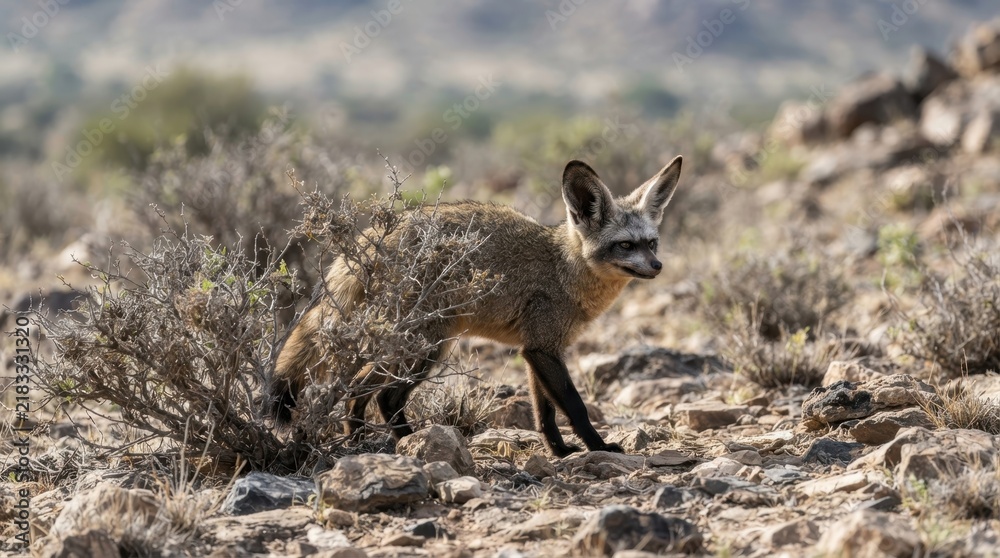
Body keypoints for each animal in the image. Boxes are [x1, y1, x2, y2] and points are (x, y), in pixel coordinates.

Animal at [269, 156, 684, 457]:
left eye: (652, 243)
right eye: (626, 245)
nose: (658, 267)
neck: (563, 268)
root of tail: (374, 237)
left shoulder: (537, 349)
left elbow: (545, 414)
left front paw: (560, 452)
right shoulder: (543, 349)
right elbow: (575, 406)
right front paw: (599, 447)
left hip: (418, 348)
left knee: (365, 390)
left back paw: (368, 440)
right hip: (423, 348)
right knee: (380, 394)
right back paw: (405, 442)